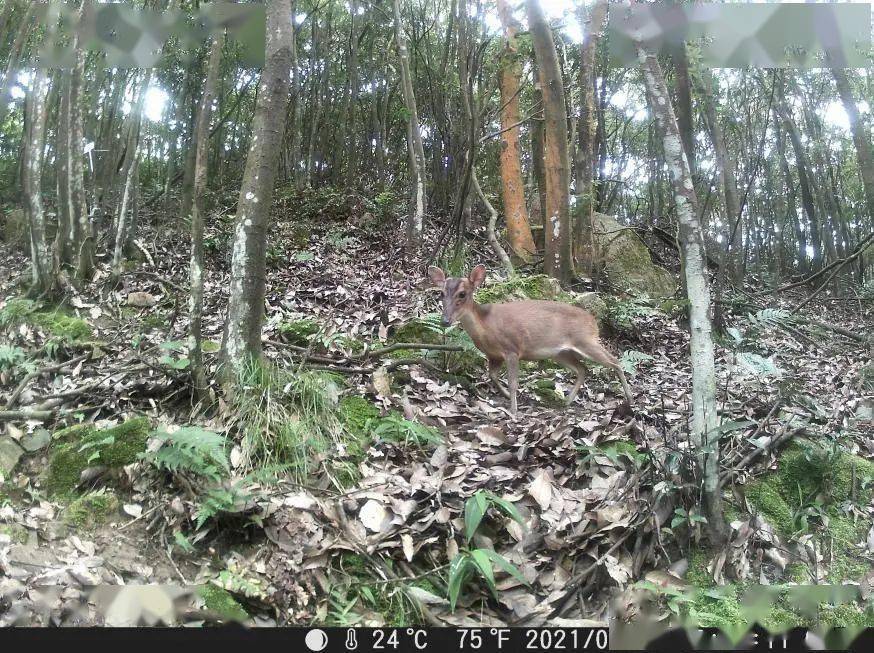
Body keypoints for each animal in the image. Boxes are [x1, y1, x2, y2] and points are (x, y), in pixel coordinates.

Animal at [426, 264, 632, 412]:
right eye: (441, 293)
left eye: (462, 294)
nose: (445, 321)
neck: (486, 327)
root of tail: (593, 321)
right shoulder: (494, 356)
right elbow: (492, 376)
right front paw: (506, 397)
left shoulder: (512, 349)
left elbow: (513, 383)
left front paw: (513, 410)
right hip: (561, 353)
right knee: (583, 369)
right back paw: (566, 402)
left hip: (586, 340)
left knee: (615, 362)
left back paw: (629, 398)